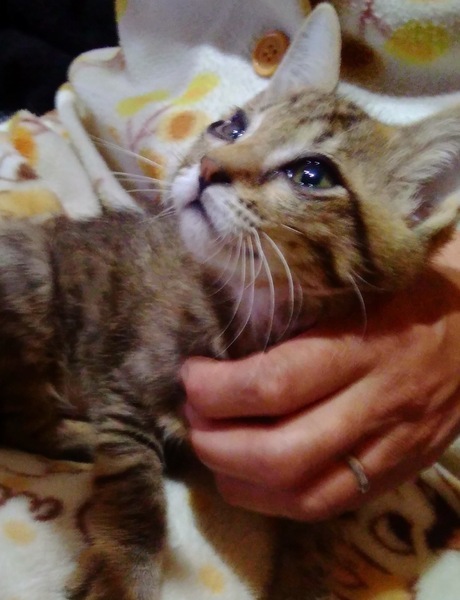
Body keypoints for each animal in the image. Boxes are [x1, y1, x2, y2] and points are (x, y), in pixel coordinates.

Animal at [1, 5, 460, 600]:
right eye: (231, 127)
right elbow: (131, 480)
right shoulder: (125, 382)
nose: (208, 166)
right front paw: (123, 567)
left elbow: (317, 532)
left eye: (312, 174)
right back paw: (78, 435)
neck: (251, 308)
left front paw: (305, 576)